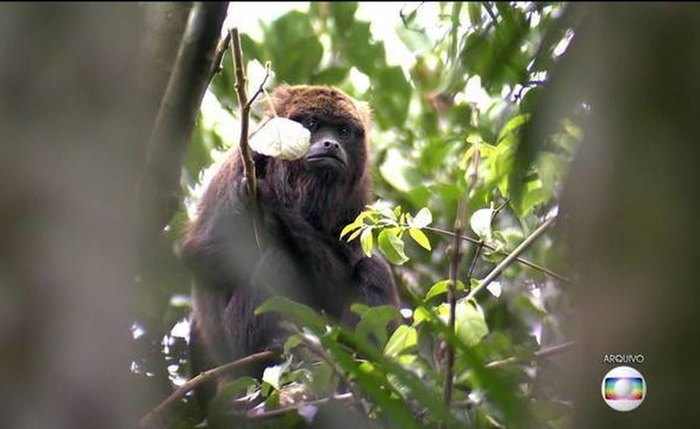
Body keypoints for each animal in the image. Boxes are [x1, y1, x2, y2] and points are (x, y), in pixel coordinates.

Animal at [179, 85, 400, 392]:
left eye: (343, 131)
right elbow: (198, 254)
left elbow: (344, 268)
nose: (331, 144)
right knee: (279, 259)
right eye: (312, 124)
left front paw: (272, 208)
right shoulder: (242, 163)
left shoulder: (357, 196)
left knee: (373, 266)